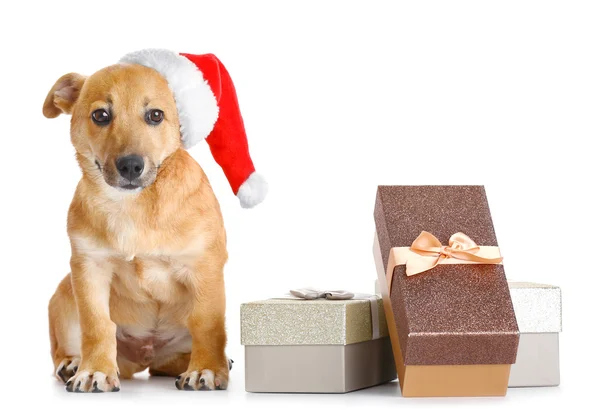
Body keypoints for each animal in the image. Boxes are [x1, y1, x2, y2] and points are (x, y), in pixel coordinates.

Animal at [43, 62, 231, 394]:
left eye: (155, 115)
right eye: (100, 115)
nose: (130, 165)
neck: (133, 205)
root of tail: (147, 356)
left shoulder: (204, 267)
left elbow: (206, 324)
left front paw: (206, 369)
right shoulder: (88, 268)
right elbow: (96, 324)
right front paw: (94, 370)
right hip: (65, 294)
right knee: (65, 349)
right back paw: (74, 363)